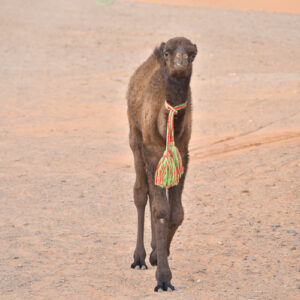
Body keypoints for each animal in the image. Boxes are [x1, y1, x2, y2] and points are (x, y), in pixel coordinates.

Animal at [126, 36, 197, 292]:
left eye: (192, 53)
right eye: (168, 53)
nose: (180, 62)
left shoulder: (182, 153)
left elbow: (176, 212)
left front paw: (159, 253)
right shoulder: (152, 151)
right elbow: (160, 209)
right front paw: (163, 278)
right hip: (135, 136)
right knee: (140, 192)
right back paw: (138, 258)